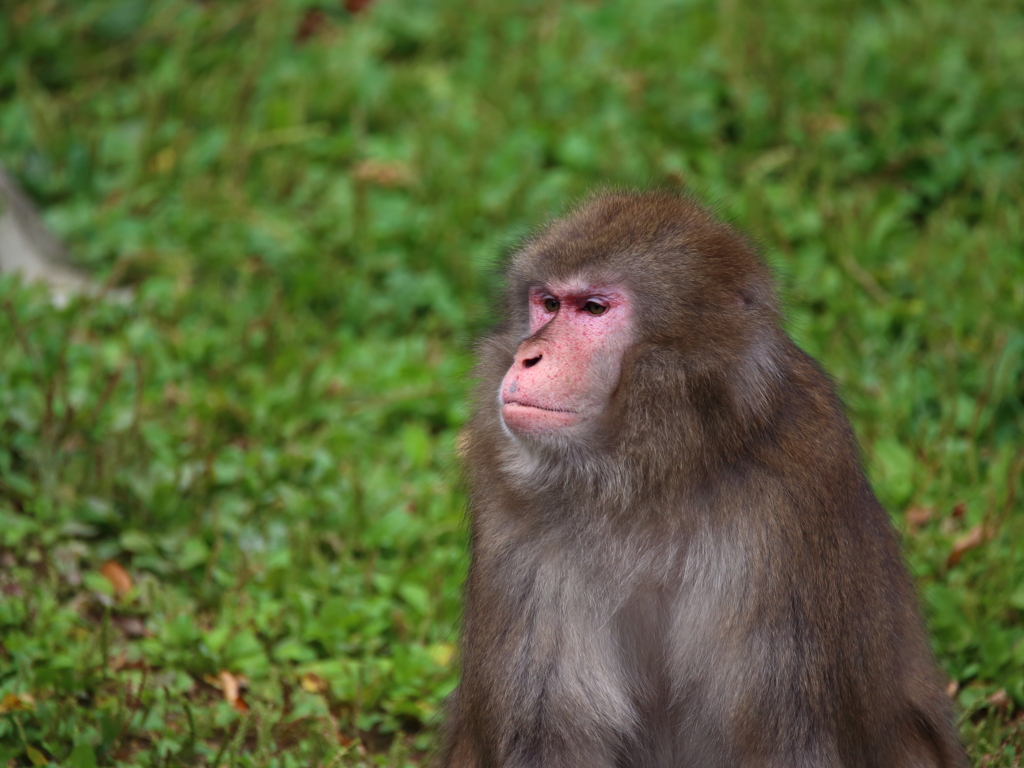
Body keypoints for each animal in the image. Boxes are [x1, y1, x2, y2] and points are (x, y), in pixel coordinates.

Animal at [442, 191, 966, 768]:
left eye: (593, 309)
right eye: (549, 304)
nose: (528, 356)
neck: (649, 477)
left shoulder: (791, 504)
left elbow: (787, 740)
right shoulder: (515, 518)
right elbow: (547, 736)